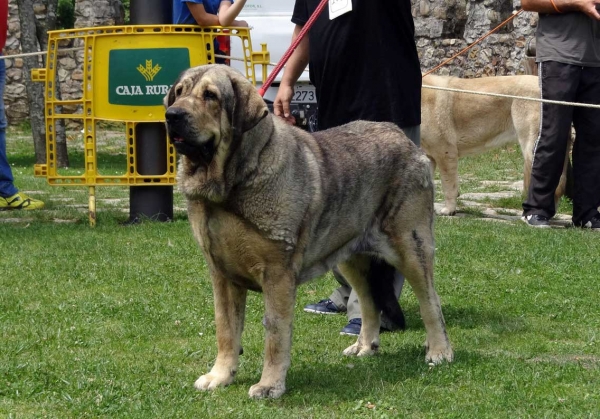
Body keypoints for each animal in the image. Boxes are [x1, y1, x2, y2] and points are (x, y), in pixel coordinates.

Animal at [165, 65, 454, 400]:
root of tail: (405, 141)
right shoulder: (222, 274)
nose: (172, 114)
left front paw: (269, 385)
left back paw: (439, 351)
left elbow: (275, 332)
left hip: (410, 245)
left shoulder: (276, 273)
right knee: (368, 301)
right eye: (179, 93)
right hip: (350, 255)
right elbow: (226, 329)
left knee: (430, 300)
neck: (234, 179)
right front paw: (219, 376)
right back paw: (364, 346)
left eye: (210, 96)